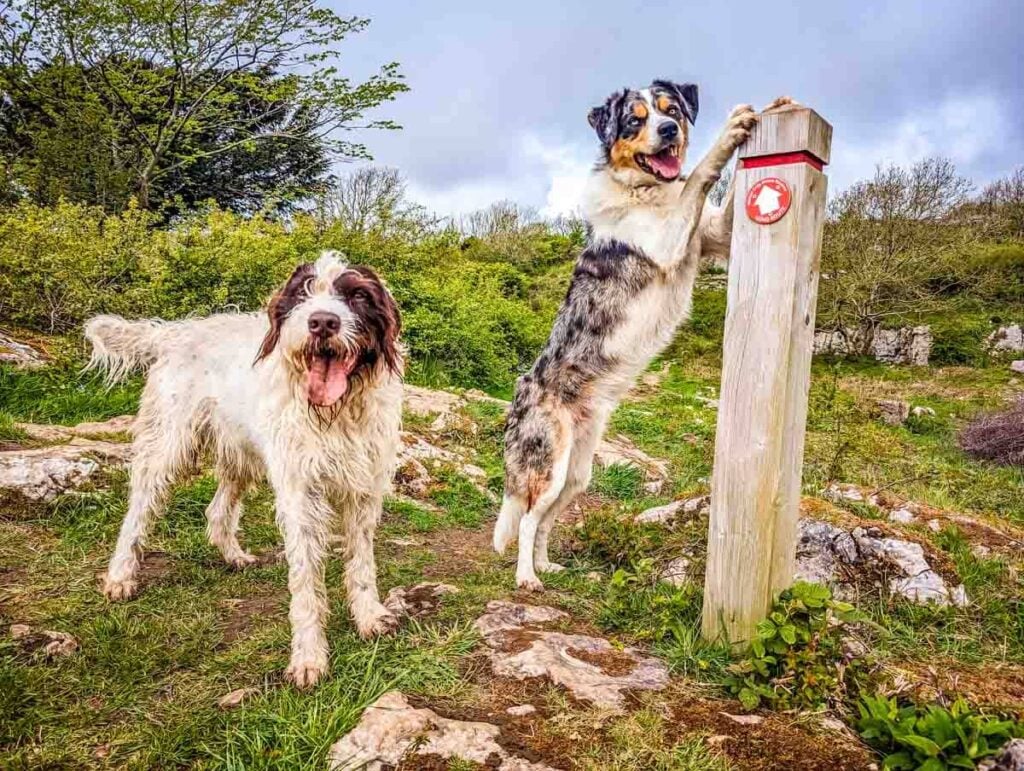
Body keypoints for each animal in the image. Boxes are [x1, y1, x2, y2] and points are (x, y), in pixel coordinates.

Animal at [84, 250, 403, 683]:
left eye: (356, 296)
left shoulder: (364, 490)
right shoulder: (300, 493)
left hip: (241, 453)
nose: (322, 322)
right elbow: (305, 579)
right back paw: (120, 576)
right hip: (166, 445)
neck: (337, 412)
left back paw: (232, 555)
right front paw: (308, 655)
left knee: (216, 510)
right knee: (137, 513)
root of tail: (176, 332)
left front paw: (369, 616)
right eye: (302, 293)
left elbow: (362, 563)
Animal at [493, 82, 790, 589]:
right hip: (549, 464)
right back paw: (527, 577)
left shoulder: (716, 233)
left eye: (672, 111)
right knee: (529, 518)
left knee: (547, 519)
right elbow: (701, 173)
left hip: (578, 473)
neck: (648, 191)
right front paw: (730, 129)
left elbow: (723, 193)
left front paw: (771, 108)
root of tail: (523, 392)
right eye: (635, 120)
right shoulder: (670, 239)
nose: (669, 130)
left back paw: (548, 565)